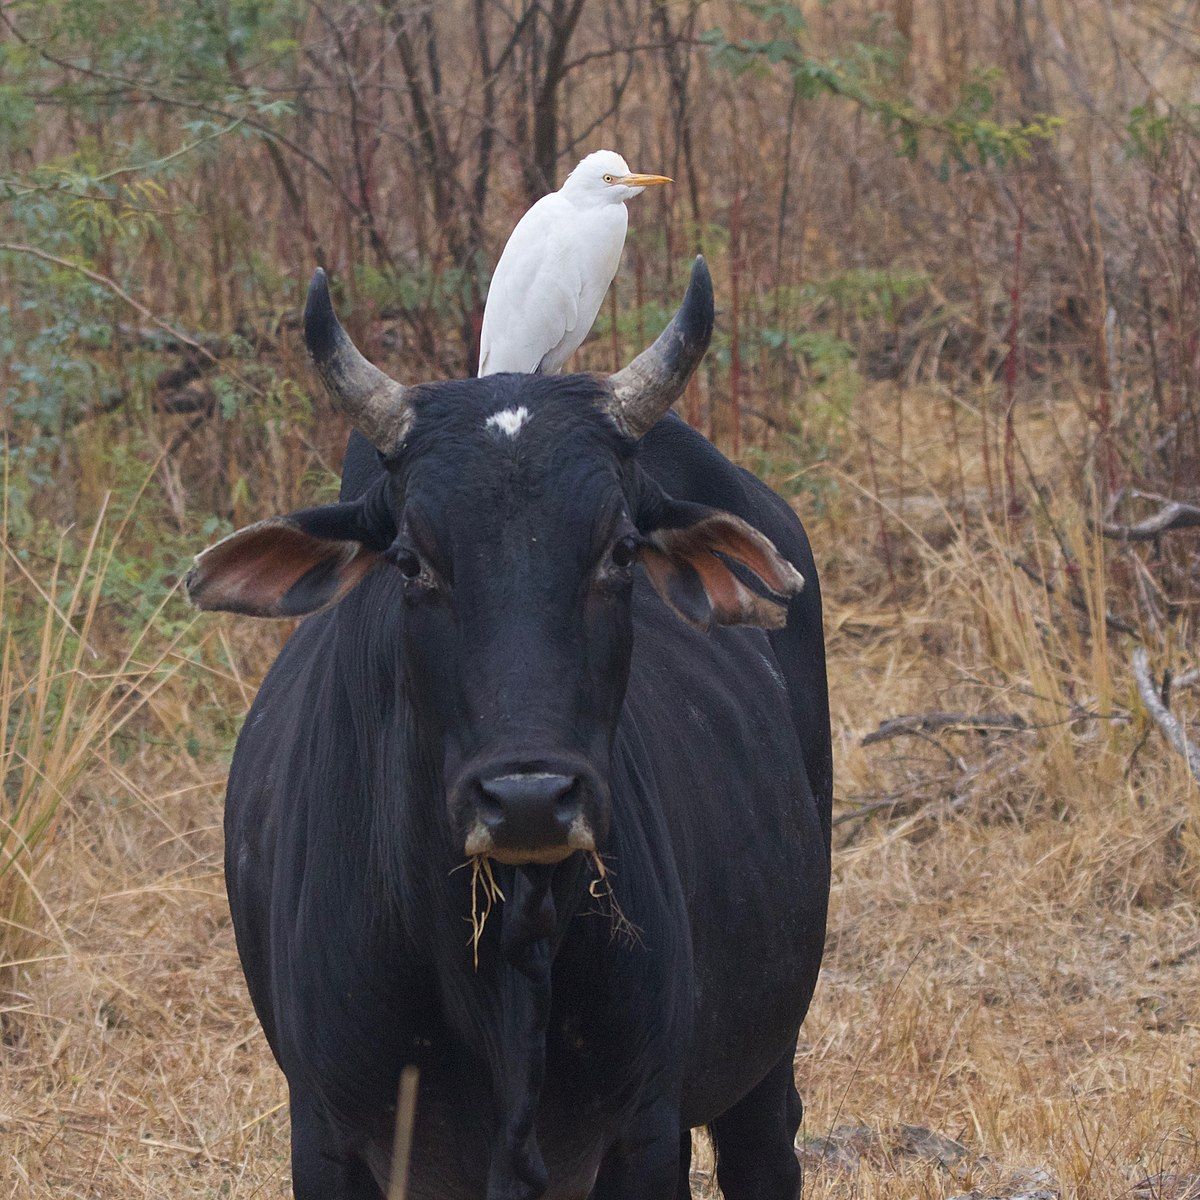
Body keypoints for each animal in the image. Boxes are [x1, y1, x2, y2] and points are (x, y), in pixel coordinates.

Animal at [189, 262, 825, 1200]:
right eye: (410, 560)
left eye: (621, 551)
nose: (528, 798)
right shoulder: (326, 1135)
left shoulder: (639, 1127)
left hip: (760, 1062)